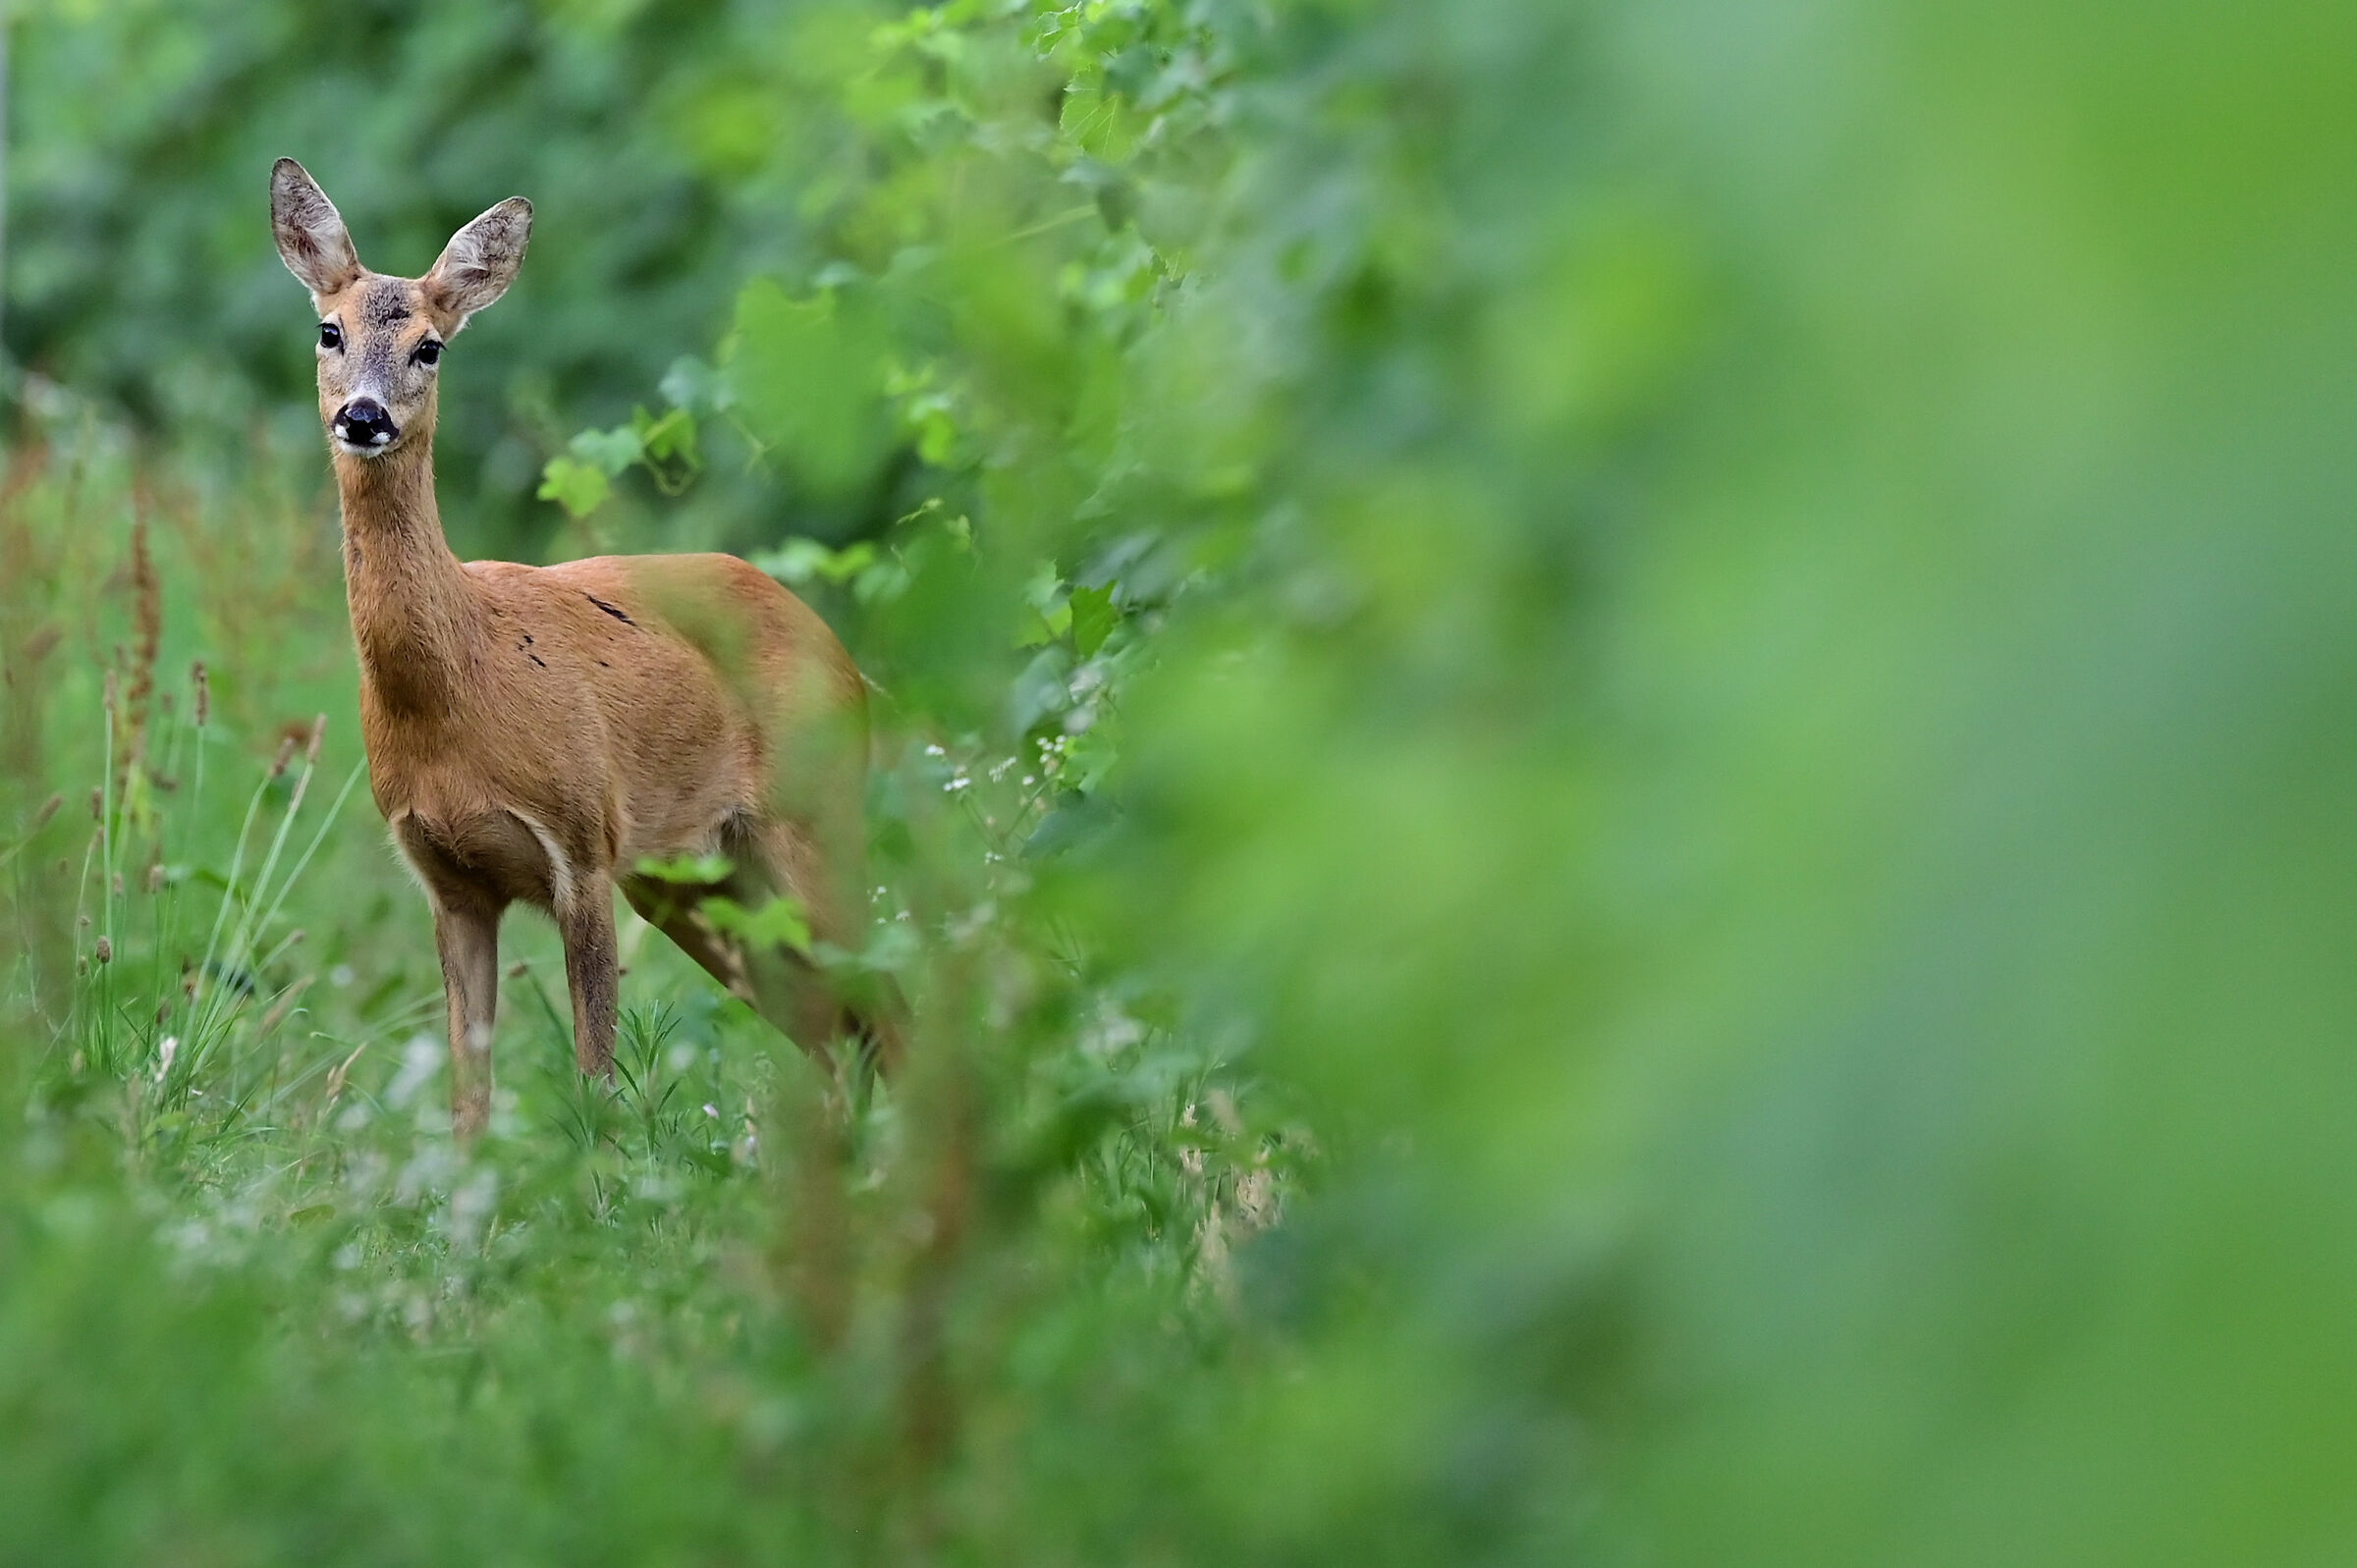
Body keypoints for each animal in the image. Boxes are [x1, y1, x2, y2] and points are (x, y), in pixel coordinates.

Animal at [269, 157, 901, 1138]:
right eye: (328, 330)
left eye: (430, 347)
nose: (364, 417)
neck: (461, 684)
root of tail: (845, 659)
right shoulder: (447, 877)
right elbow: (469, 1099)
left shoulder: (583, 842)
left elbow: (595, 1076)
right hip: (697, 875)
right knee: (830, 1028)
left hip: (813, 814)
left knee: (894, 1002)